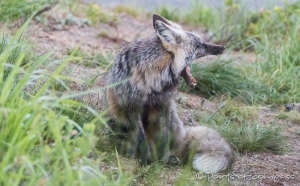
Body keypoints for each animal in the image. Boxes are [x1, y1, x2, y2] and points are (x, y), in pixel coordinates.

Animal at [105, 13, 234, 174]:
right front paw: (146, 161)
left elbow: (163, 139)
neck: (152, 85)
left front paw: (160, 160)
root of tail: (184, 133)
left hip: (172, 119)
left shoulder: (163, 106)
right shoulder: (132, 108)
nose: (223, 47)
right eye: (200, 45)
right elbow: (142, 140)